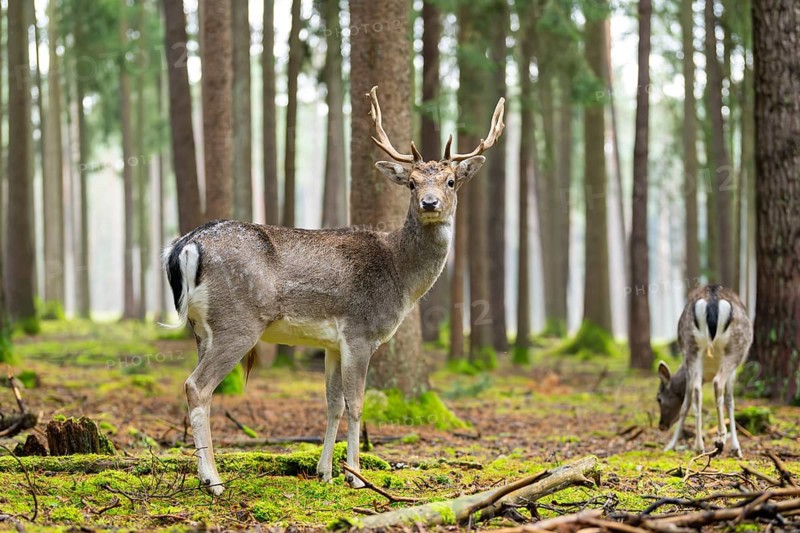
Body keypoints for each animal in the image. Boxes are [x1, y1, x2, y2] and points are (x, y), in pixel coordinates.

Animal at [162, 86, 505, 495]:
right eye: (411, 182)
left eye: (451, 181)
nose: (430, 203)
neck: (400, 276)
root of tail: (186, 245)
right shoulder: (360, 332)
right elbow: (356, 403)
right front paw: (355, 475)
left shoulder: (330, 344)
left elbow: (332, 403)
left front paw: (324, 471)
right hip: (238, 321)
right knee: (196, 386)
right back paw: (212, 480)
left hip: (201, 328)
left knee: (202, 387)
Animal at [656, 284, 753, 457]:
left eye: (658, 399)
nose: (661, 425)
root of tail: (712, 300)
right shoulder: (733, 371)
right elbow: (730, 401)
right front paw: (736, 448)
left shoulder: (688, 365)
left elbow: (686, 404)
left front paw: (670, 445)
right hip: (735, 349)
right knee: (717, 383)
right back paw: (721, 435)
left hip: (690, 347)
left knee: (696, 391)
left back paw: (699, 446)